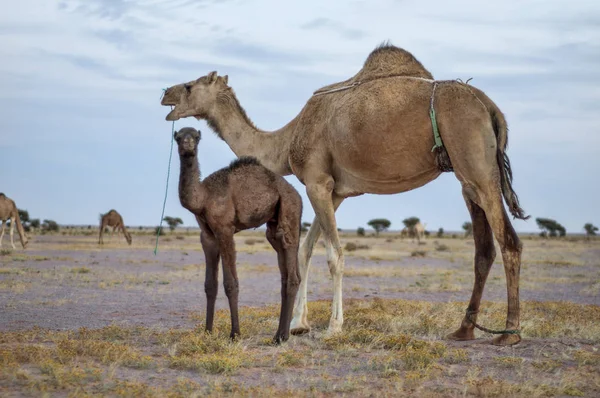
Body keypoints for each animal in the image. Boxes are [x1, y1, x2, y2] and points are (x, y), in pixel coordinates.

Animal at [176, 126, 302, 342]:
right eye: (179, 137)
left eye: (195, 137)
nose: (187, 144)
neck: (203, 197)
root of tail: (298, 195)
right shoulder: (207, 236)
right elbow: (210, 285)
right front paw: (207, 331)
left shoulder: (225, 230)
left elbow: (230, 284)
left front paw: (235, 334)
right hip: (273, 228)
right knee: (284, 272)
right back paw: (278, 334)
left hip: (290, 211)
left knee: (292, 267)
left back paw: (283, 337)